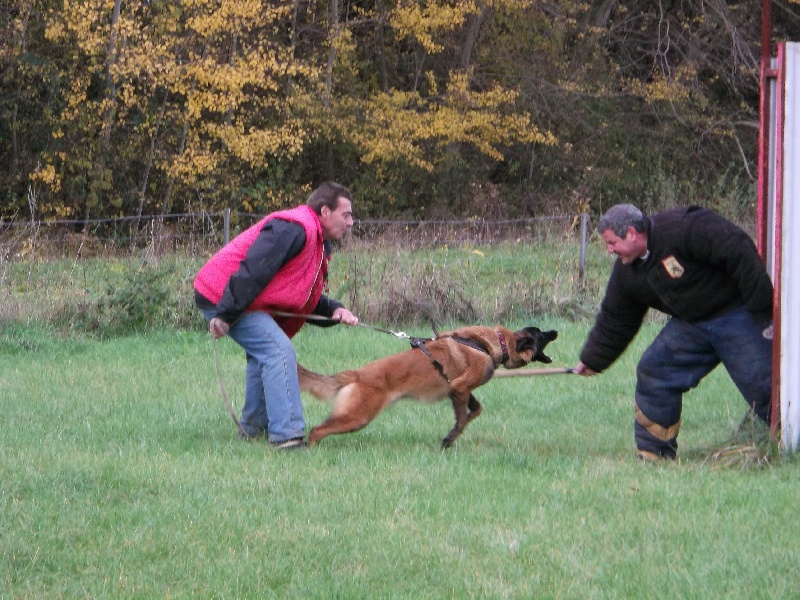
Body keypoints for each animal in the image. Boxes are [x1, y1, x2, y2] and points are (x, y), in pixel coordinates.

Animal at [298, 326, 556, 448]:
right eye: (541, 334)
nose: (555, 331)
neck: (496, 343)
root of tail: (358, 373)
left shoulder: (460, 389)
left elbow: (475, 410)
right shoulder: (460, 387)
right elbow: (462, 420)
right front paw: (449, 441)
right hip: (357, 417)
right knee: (317, 430)